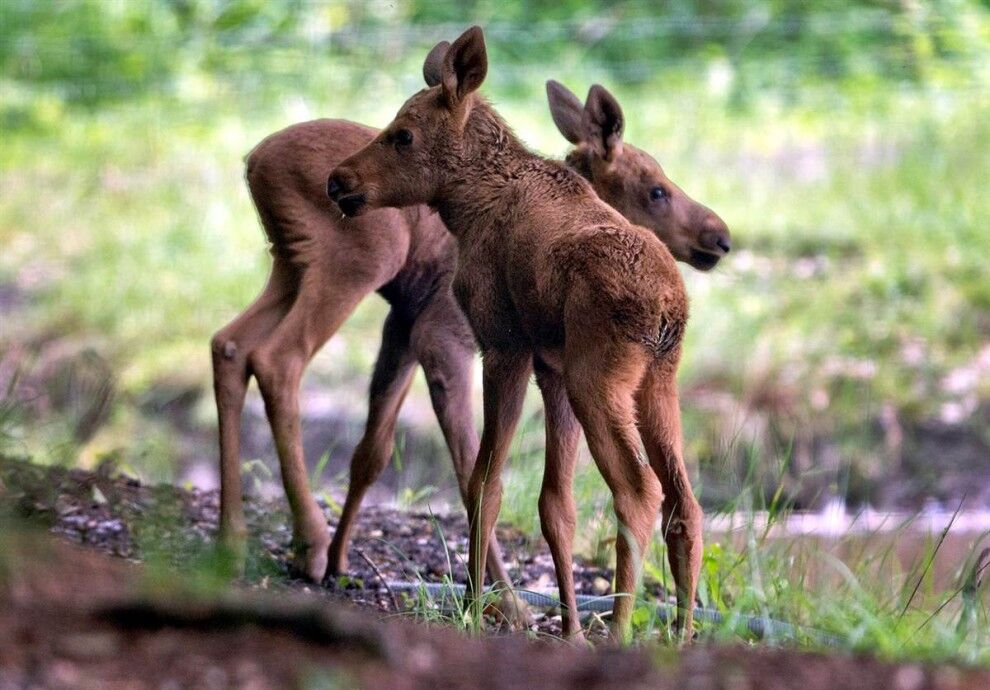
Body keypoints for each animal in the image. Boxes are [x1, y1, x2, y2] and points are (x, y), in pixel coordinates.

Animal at [330, 26, 732, 640]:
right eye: (657, 189)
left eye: (403, 134)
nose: (338, 179)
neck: (465, 208)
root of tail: (669, 306)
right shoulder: (551, 369)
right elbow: (554, 505)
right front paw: (566, 628)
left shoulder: (504, 346)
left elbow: (484, 483)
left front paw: (477, 609)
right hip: (658, 383)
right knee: (684, 506)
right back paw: (681, 635)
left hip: (600, 381)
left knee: (638, 492)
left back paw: (621, 628)